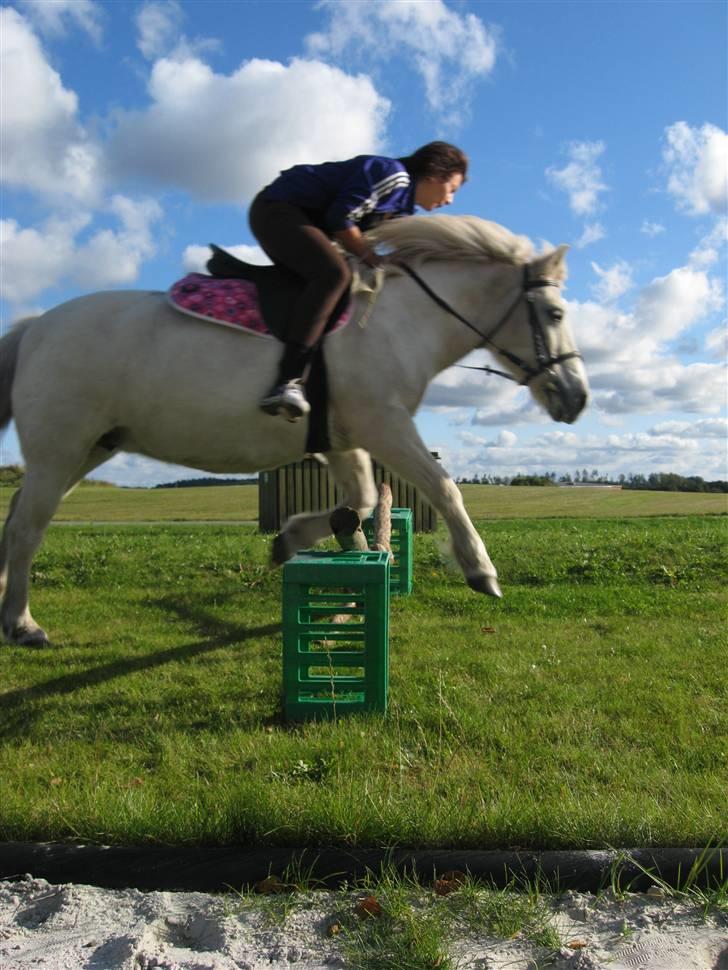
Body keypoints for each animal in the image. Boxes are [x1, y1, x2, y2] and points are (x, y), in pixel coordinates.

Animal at [0, 216, 584, 648]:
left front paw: (293, 540)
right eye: (555, 313)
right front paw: (481, 570)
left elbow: (360, 503)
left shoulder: (344, 441)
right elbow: (443, 488)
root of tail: (35, 327)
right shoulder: (386, 425)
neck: (398, 325)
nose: (577, 397)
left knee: (15, 519)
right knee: (27, 528)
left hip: (90, 449)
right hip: (60, 450)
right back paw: (24, 625)